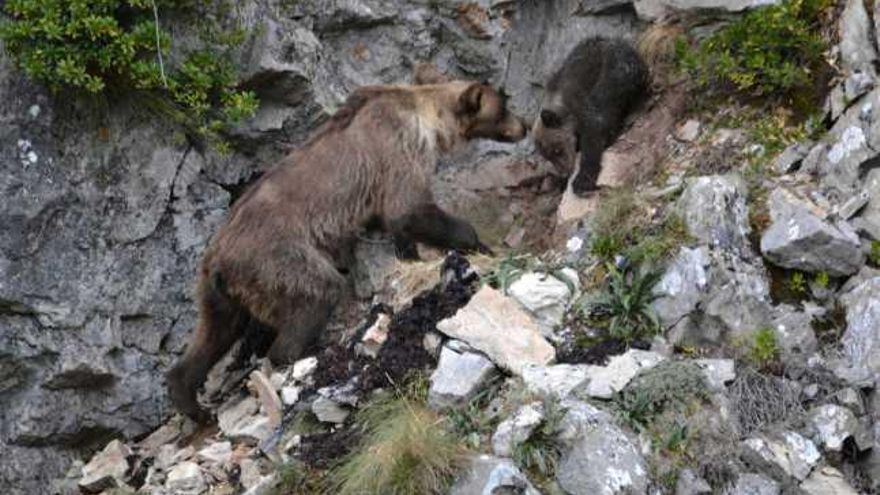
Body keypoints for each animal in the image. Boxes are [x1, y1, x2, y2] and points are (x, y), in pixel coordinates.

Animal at [170, 66, 528, 422]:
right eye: (504, 106)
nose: (524, 126)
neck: (430, 123)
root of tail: (218, 259)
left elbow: (395, 225)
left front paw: (409, 255)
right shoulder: (397, 149)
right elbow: (407, 209)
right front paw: (478, 244)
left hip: (218, 289)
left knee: (215, 332)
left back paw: (190, 400)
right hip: (275, 258)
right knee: (316, 291)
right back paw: (301, 352)